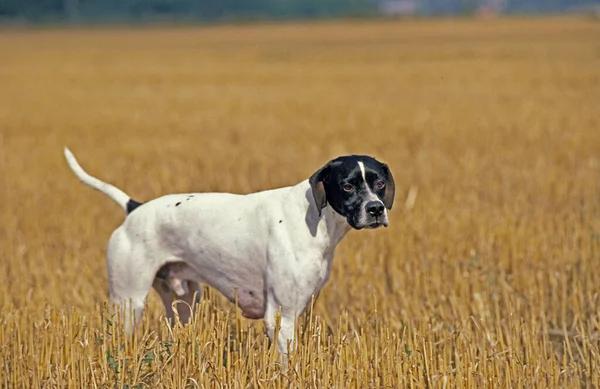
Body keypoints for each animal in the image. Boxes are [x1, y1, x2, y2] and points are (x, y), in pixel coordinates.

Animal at [64, 147, 394, 356]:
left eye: (379, 183)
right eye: (348, 186)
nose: (376, 209)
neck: (315, 217)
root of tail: (135, 208)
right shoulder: (280, 316)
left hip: (185, 303)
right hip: (128, 303)